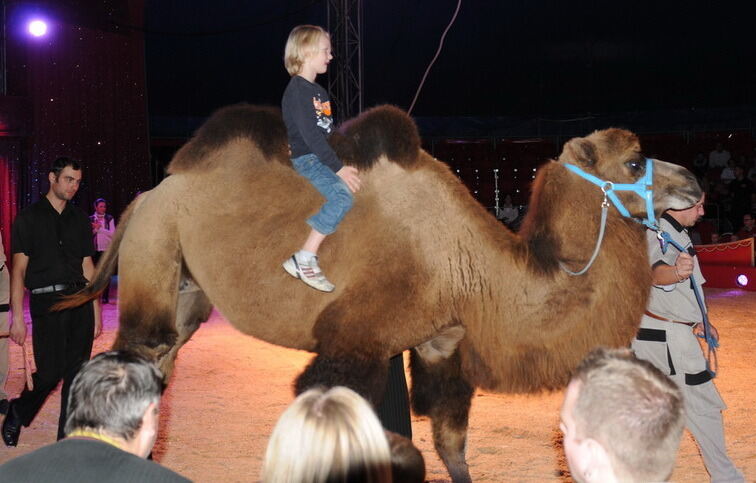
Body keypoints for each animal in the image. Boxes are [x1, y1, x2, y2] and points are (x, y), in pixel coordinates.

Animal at [60, 104, 704, 482]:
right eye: (635, 160)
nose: (695, 184)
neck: (474, 268)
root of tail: (149, 194)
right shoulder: (353, 346)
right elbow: (388, 446)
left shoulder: (442, 346)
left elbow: (451, 445)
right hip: (153, 254)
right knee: (130, 356)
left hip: (188, 292)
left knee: (157, 363)